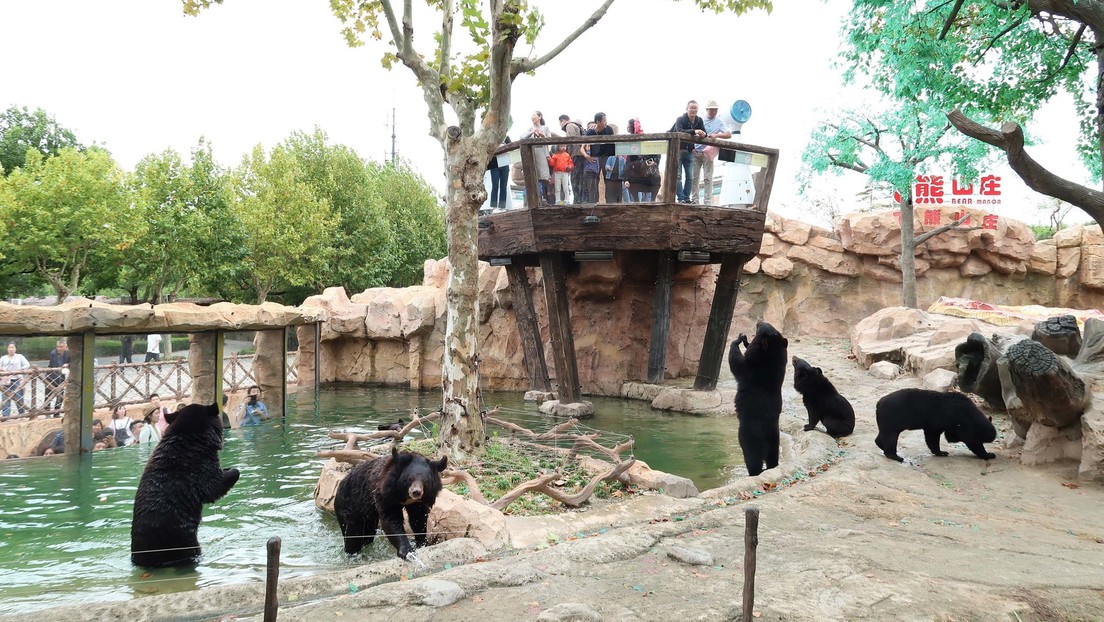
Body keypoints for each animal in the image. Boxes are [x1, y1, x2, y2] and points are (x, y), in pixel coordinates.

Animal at [728, 320, 790, 477]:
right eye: (771, 325)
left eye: (762, 327)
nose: (759, 320)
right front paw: (745, 340)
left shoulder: (752, 370)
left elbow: (737, 363)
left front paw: (738, 339)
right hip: (775, 442)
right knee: (773, 459)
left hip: (749, 439)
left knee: (753, 460)